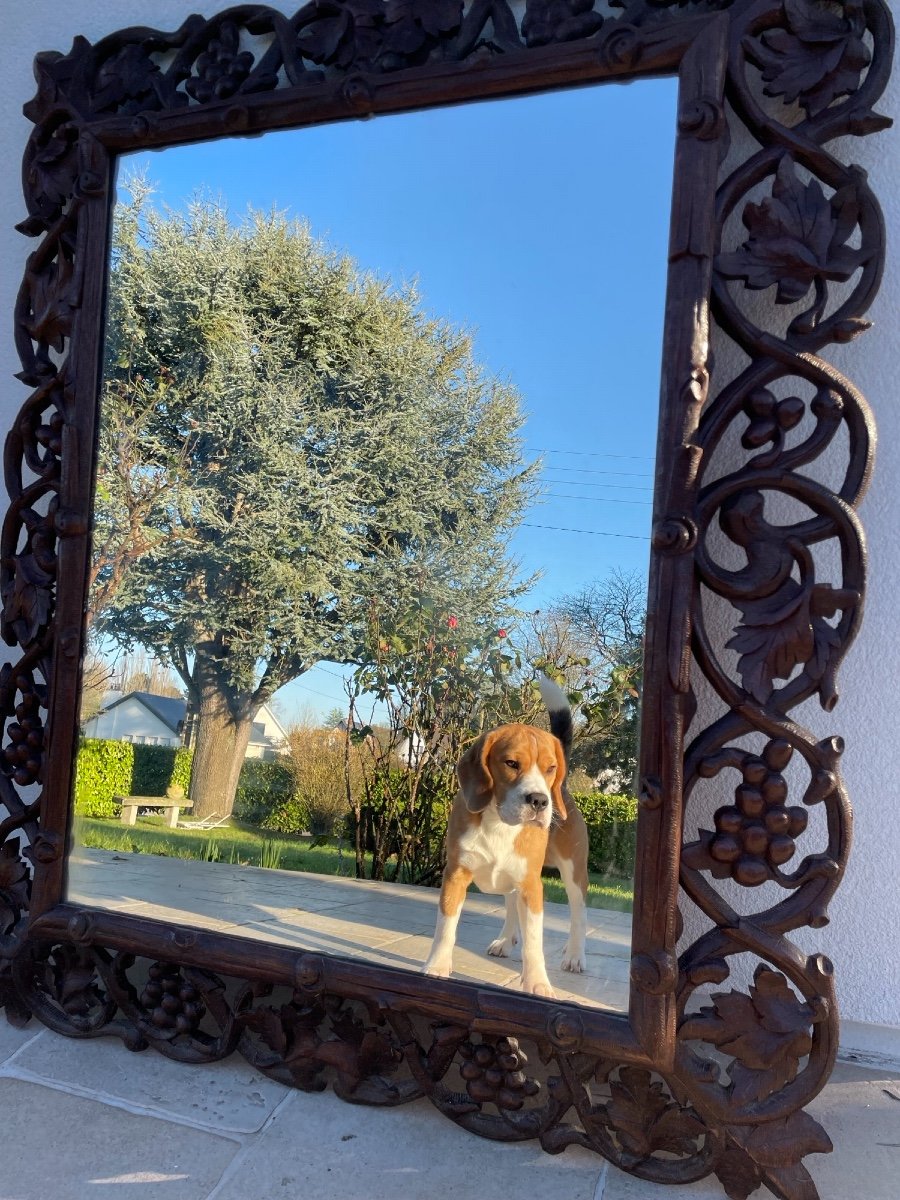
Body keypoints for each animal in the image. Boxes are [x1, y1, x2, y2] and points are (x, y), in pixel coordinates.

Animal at [424, 681, 592, 998]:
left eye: (550, 768)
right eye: (511, 763)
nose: (540, 800)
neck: (499, 823)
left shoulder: (532, 886)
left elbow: (534, 944)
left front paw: (537, 983)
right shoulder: (455, 875)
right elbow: (445, 928)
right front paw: (437, 966)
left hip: (574, 872)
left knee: (578, 913)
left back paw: (575, 955)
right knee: (512, 905)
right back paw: (505, 940)